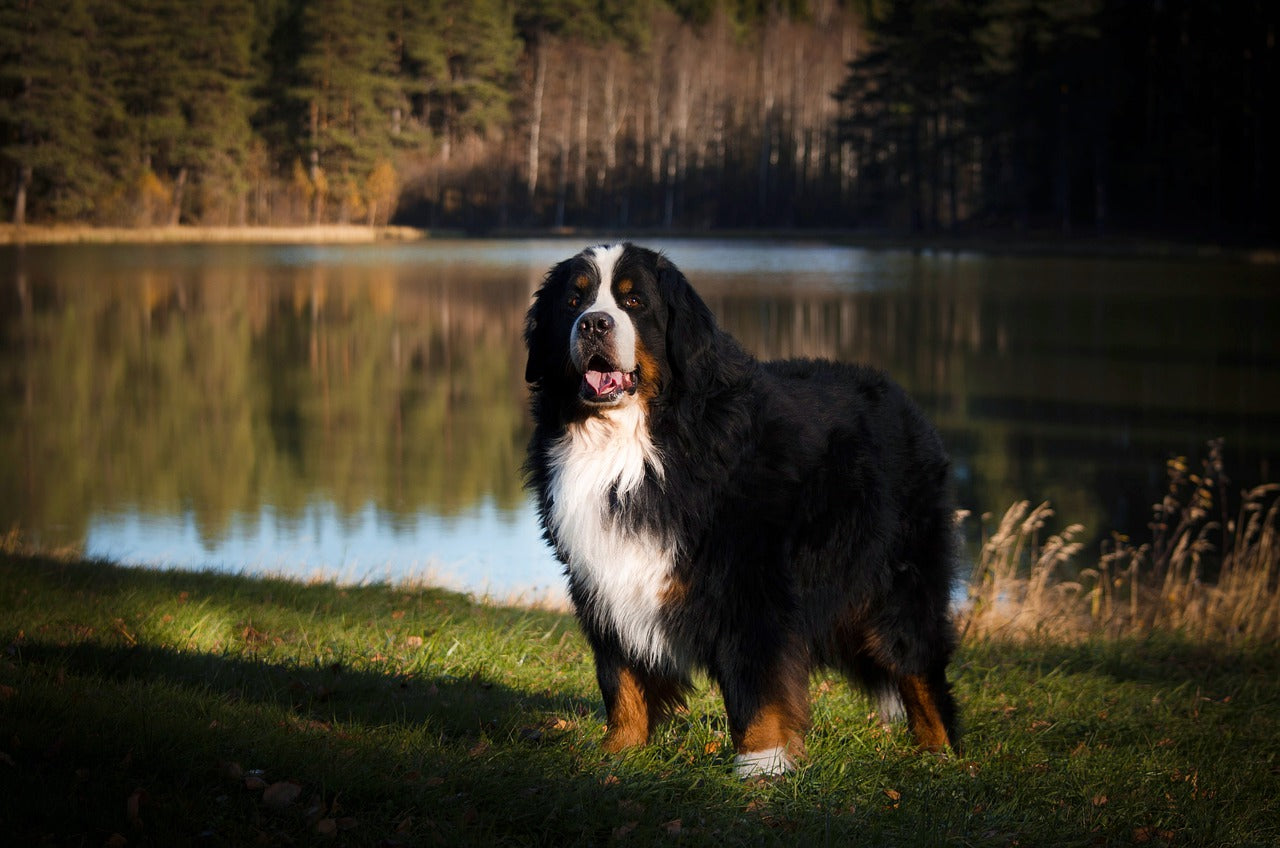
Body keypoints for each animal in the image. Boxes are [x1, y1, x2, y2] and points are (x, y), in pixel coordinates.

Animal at [522, 242, 962, 778]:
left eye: (634, 302)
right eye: (573, 302)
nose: (593, 324)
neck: (632, 443)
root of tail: (906, 402)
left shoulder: (750, 583)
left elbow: (756, 684)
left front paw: (761, 765)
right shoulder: (602, 577)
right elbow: (621, 676)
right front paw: (618, 751)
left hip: (897, 584)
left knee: (917, 666)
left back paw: (939, 756)